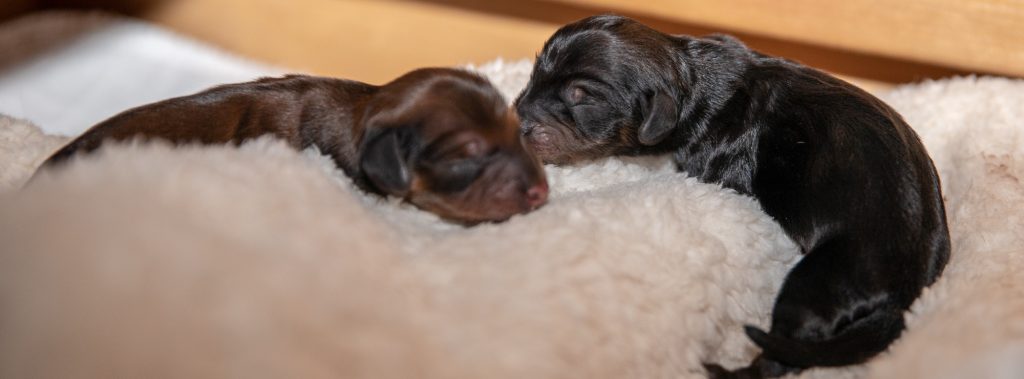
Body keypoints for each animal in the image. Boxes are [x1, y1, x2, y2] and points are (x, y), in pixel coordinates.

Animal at [520, 15, 950, 379]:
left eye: (581, 95)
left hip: (819, 283)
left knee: (780, 356)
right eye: (536, 74)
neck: (691, 80)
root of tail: (904, 296)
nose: (519, 120)